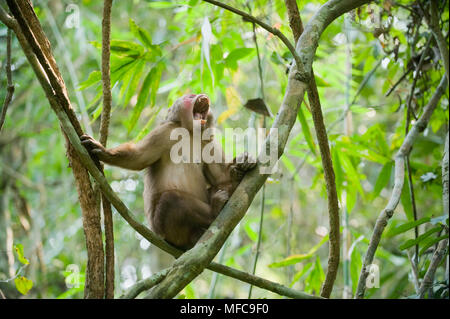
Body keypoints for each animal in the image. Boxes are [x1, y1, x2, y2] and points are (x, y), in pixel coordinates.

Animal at [81, 94, 255, 251]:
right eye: (190, 97)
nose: (202, 96)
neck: (190, 132)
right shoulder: (164, 132)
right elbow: (139, 158)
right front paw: (104, 152)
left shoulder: (208, 141)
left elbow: (219, 178)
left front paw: (243, 161)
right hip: (166, 231)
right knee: (170, 199)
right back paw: (214, 211)